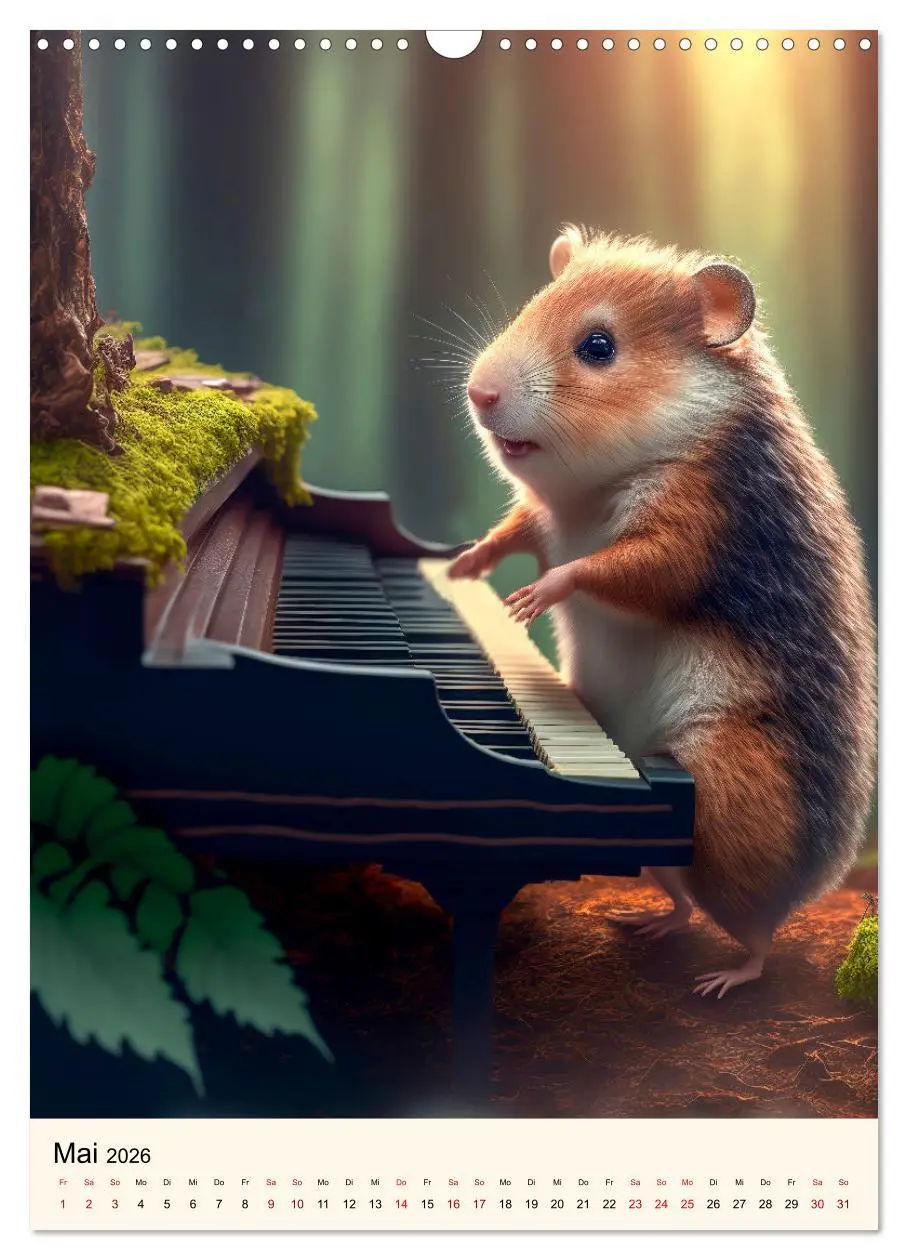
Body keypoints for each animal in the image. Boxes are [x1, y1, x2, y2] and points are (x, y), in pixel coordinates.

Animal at [448, 225, 876, 998]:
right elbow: (515, 530)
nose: (479, 392)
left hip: (725, 800)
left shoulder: (694, 523)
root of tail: (818, 875)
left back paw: (730, 976)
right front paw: (463, 565)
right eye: (531, 305)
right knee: (679, 894)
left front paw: (534, 597)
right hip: (657, 844)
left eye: (598, 347)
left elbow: (623, 569)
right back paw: (648, 923)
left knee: (754, 922)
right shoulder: (543, 520)